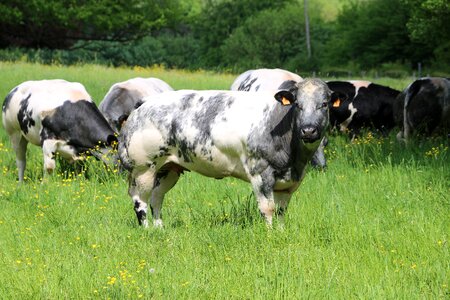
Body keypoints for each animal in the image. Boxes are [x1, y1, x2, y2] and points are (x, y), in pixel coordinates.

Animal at [119, 78, 334, 226]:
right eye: (298, 104)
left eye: (324, 104)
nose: (308, 130)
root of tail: (143, 105)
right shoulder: (260, 173)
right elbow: (268, 209)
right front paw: (271, 236)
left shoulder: (288, 182)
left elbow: (281, 211)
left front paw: (281, 233)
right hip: (143, 168)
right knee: (140, 199)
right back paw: (147, 229)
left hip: (169, 168)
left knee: (157, 197)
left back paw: (160, 228)